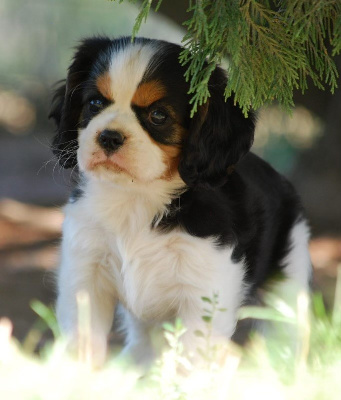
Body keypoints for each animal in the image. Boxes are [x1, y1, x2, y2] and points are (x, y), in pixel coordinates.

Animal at [49, 37, 310, 366]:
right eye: (95, 104)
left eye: (158, 115)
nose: (108, 136)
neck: (137, 197)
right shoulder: (85, 272)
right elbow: (83, 339)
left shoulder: (205, 290)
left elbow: (191, 358)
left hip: (288, 280)